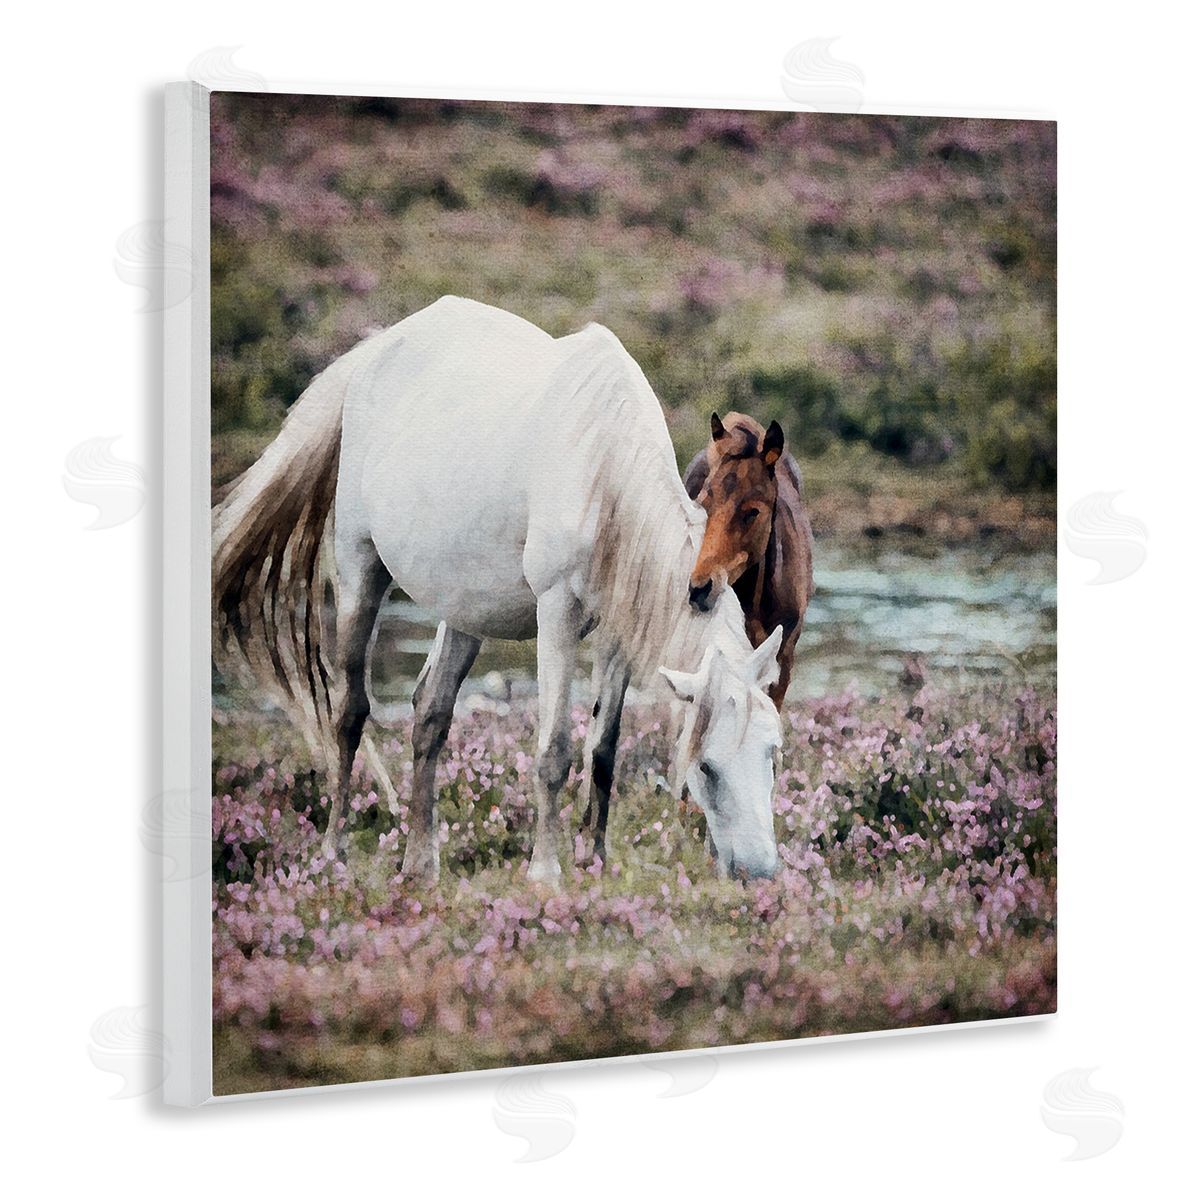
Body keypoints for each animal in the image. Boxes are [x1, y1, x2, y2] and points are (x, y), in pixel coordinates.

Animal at [213, 296, 783, 884]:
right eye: (707, 767)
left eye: (773, 752)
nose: (760, 871)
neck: (603, 471)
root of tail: (375, 350)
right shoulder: (557, 614)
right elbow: (554, 751)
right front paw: (546, 872)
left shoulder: (620, 630)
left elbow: (603, 751)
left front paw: (596, 862)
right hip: (359, 570)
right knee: (350, 713)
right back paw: (333, 854)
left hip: (465, 608)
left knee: (430, 712)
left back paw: (420, 863)